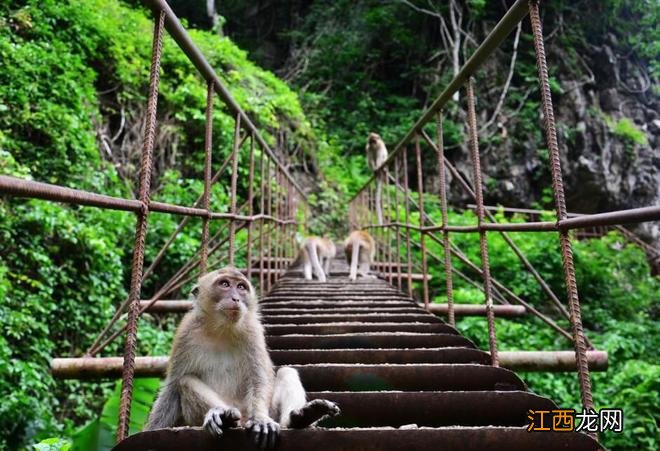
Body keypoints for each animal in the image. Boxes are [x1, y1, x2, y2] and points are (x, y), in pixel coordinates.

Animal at [144, 266, 340, 446]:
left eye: (241, 287)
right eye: (224, 284)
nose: (236, 298)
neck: (220, 329)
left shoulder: (252, 331)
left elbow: (259, 378)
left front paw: (261, 419)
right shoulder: (186, 334)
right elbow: (172, 387)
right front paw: (151, 429)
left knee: (287, 372)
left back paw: (299, 418)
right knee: (185, 381)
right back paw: (223, 415)